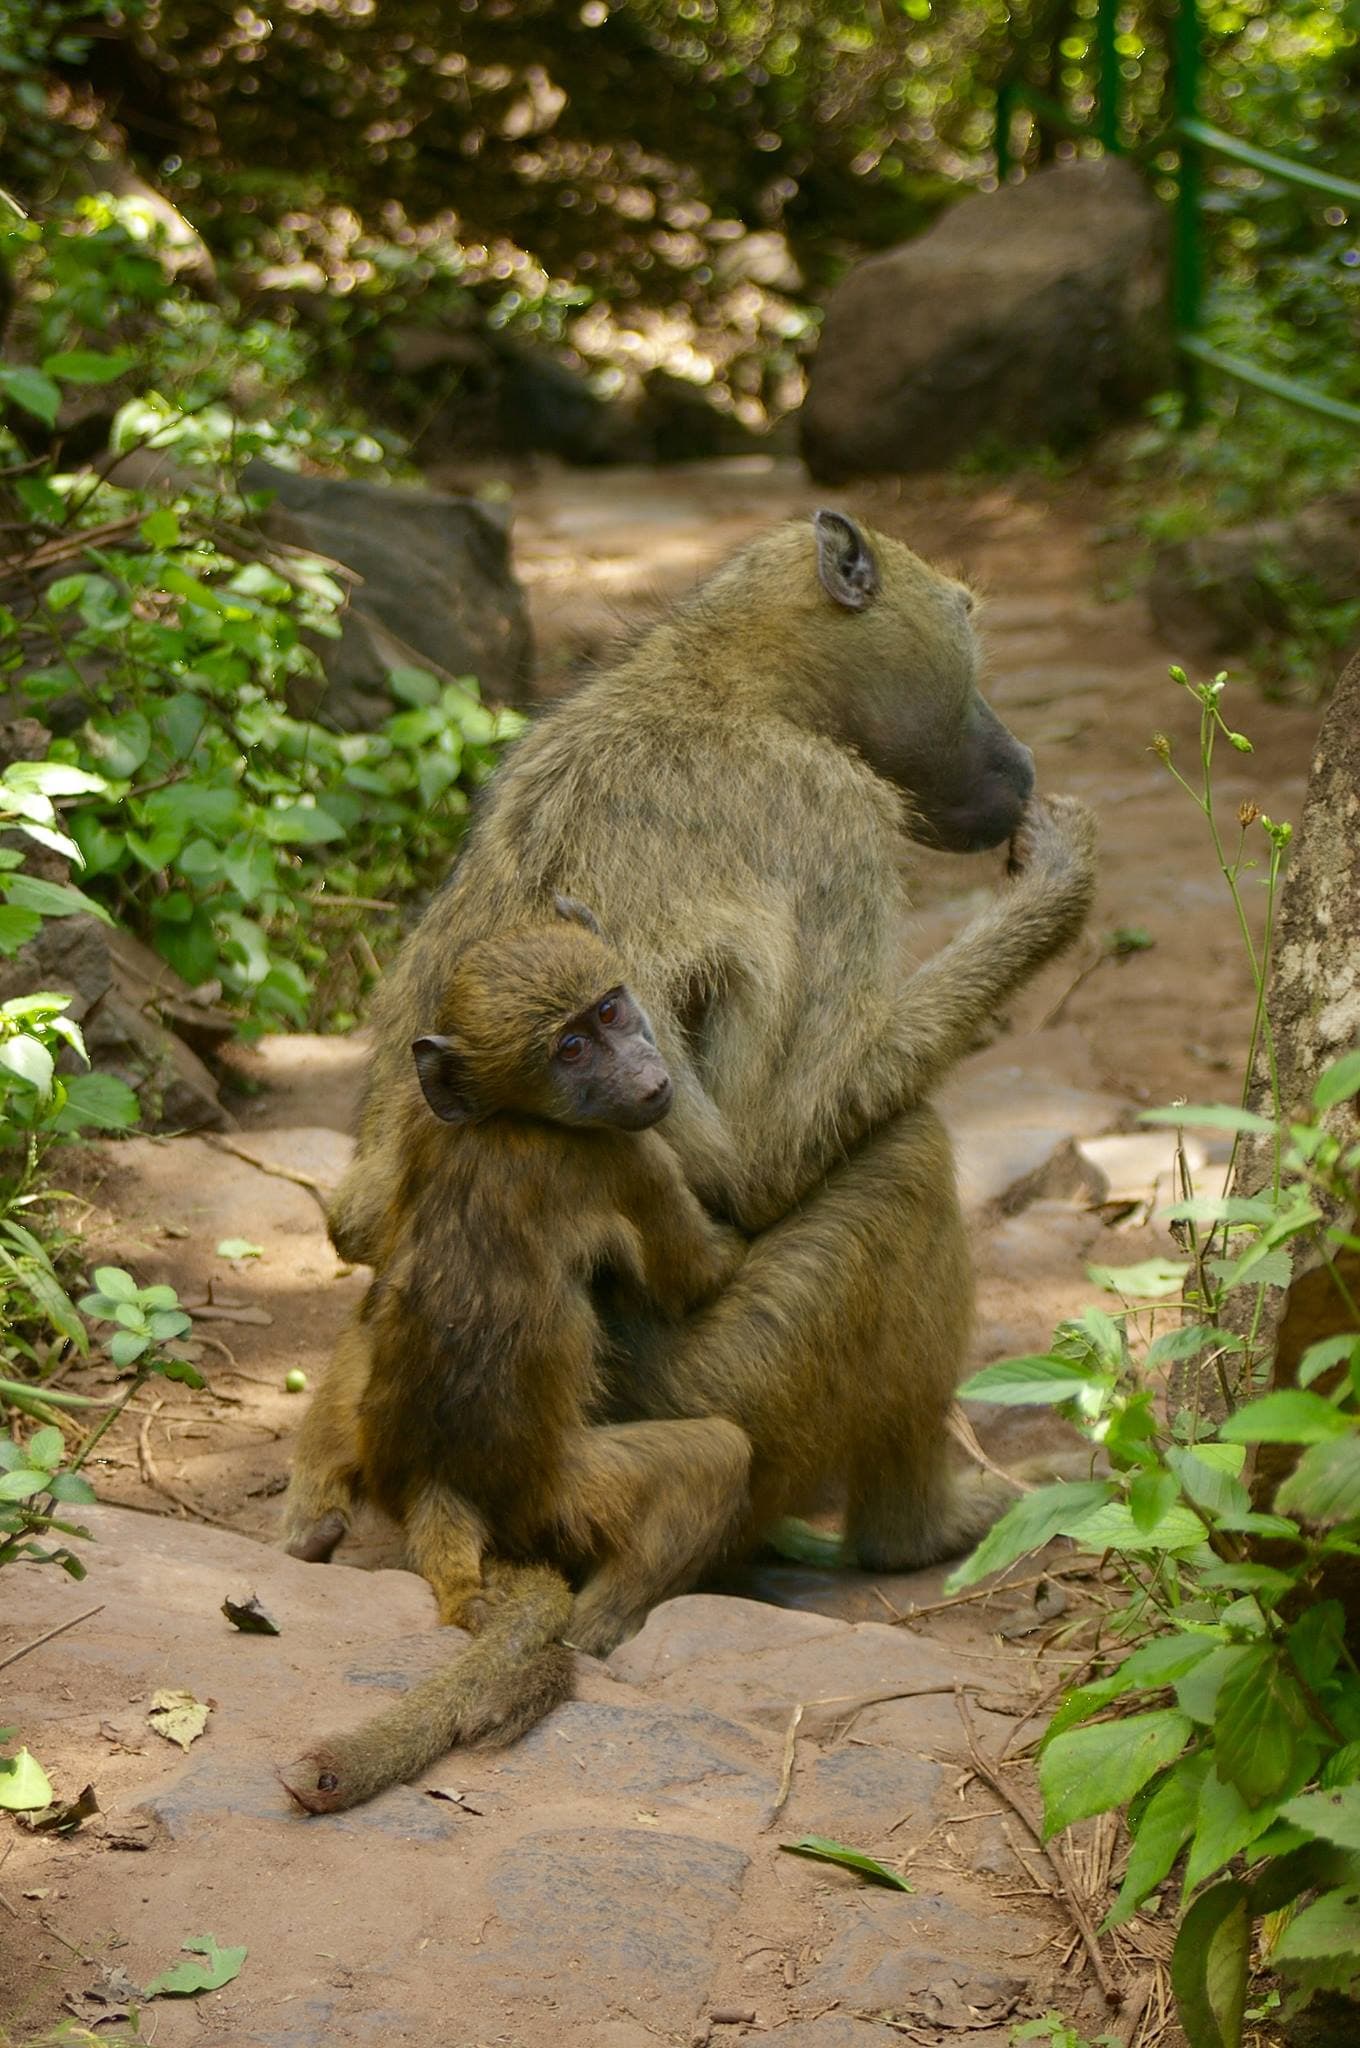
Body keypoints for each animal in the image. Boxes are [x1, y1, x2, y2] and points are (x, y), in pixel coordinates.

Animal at [279, 900, 748, 1811]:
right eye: (569, 1050)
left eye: (609, 1011)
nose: (646, 1077)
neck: (509, 1119)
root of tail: (438, 1484)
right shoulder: (625, 1156)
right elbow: (702, 1277)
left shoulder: (424, 1124)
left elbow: (372, 1249)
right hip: (564, 1490)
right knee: (719, 1455)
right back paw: (604, 1618)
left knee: (368, 1317)